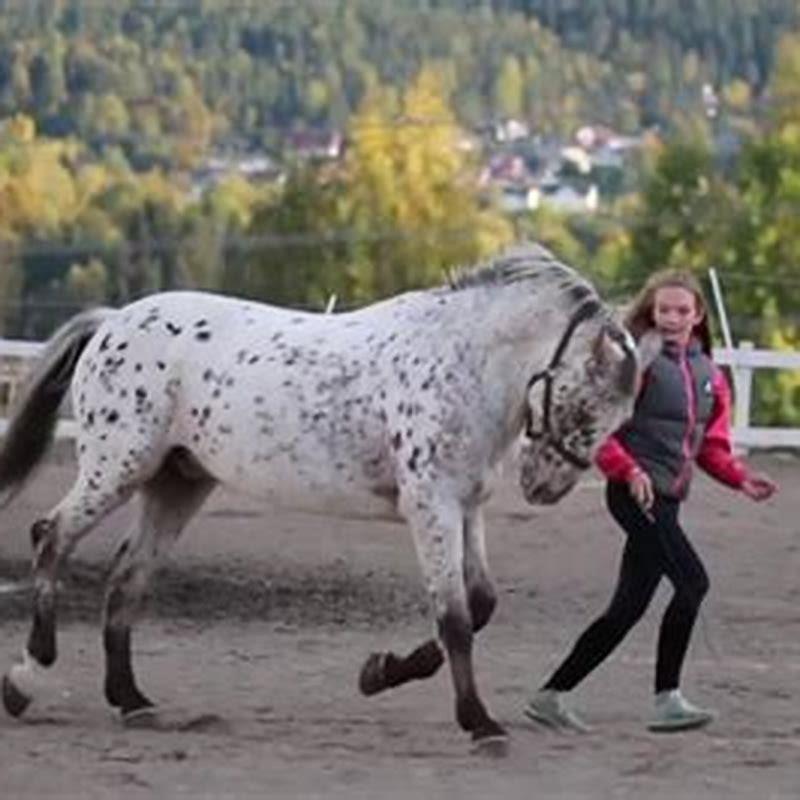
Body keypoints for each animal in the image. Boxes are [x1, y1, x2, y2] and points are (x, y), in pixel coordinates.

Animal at [0, 243, 648, 746]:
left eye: (620, 419)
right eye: (585, 405)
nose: (545, 488)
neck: (462, 363)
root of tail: (113, 321)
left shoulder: (466, 508)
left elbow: (481, 604)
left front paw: (379, 672)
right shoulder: (430, 506)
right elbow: (457, 617)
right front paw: (480, 723)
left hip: (177, 483)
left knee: (125, 580)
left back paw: (132, 700)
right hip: (118, 467)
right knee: (51, 537)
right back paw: (27, 679)